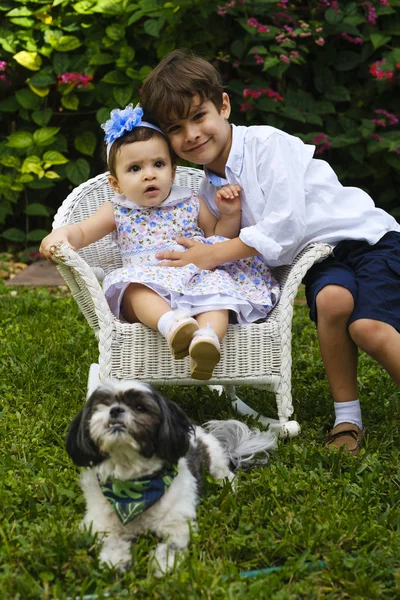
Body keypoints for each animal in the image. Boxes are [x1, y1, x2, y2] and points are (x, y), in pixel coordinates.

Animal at [66, 382, 278, 576]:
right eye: (102, 405)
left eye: (140, 407)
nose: (115, 410)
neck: (133, 482)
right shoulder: (99, 523)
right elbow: (110, 539)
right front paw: (115, 560)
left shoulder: (178, 523)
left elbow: (172, 544)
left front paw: (164, 565)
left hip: (215, 459)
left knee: (225, 474)